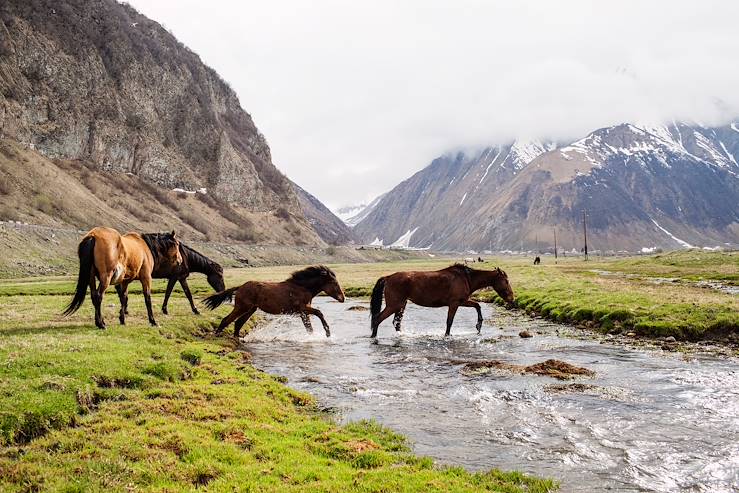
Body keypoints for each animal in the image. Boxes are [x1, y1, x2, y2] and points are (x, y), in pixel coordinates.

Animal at [199, 266, 344, 338]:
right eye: (334, 283)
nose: (343, 298)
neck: (301, 287)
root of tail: (240, 287)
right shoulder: (302, 308)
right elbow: (319, 313)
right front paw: (327, 333)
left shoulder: (303, 312)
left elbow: (309, 328)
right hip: (242, 307)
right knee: (226, 320)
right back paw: (217, 336)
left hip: (251, 309)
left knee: (238, 323)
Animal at [370, 264, 516, 336]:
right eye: (506, 281)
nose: (512, 298)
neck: (466, 278)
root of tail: (388, 277)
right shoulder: (455, 303)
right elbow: (449, 322)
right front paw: (447, 335)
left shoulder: (462, 301)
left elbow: (477, 305)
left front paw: (478, 326)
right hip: (394, 305)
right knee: (378, 319)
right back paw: (374, 337)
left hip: (401, 305)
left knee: (396, 323)